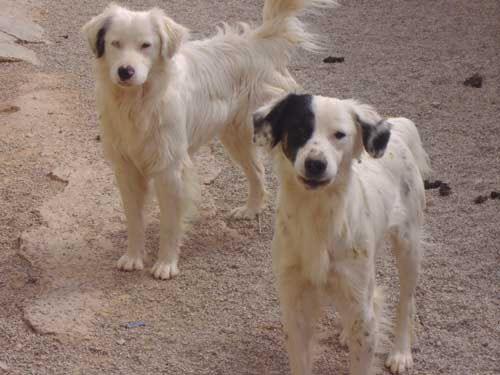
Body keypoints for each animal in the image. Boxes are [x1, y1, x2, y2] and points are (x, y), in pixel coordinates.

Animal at [82, 0, 336, 280]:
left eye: (145, 45)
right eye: (115, 43)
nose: (125, 71)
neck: (138, 103)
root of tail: (256, 41)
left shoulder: (170, 171)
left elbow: (169, 223)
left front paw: (166, 264)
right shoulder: (126, 169)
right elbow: (134, 220)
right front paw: (133, 257)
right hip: (236, 137)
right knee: (257, 173)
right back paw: (251, 210)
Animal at [254, 92, 430, 374]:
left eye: (339, 134)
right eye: (299, 129)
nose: (315, 164)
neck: (318, 215)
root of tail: (398, 130)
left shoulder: (362, 311)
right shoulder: (295, 303)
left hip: (409, 246)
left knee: (406, 301)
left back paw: (400, 352)